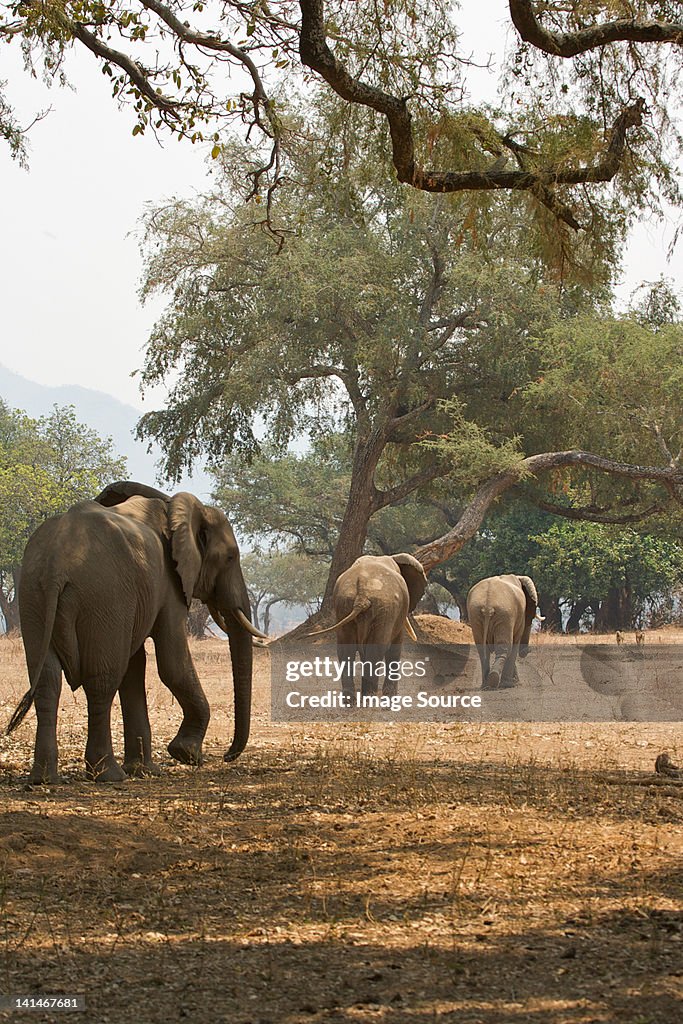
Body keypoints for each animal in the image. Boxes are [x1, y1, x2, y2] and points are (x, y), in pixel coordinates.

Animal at [6, 479, 266, 782]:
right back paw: (108, 775)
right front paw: (185, 754)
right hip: (104, 596)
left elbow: (135, 667)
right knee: (102, 681)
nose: (227, 756)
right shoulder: (169, 583)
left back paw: (44, 779)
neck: (172, 506)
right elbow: (172, 663)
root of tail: (56, 564)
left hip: (33, 595)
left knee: (48, 682)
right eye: (230, 557)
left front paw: (145, 770)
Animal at [311, 557, 428, 700]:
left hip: (344, 604)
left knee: (346, 649)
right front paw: (392, 698)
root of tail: (362, 595)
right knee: (376, 649)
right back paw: (370, 699)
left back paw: (351, 701)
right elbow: (394, 647)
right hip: (384, 608)